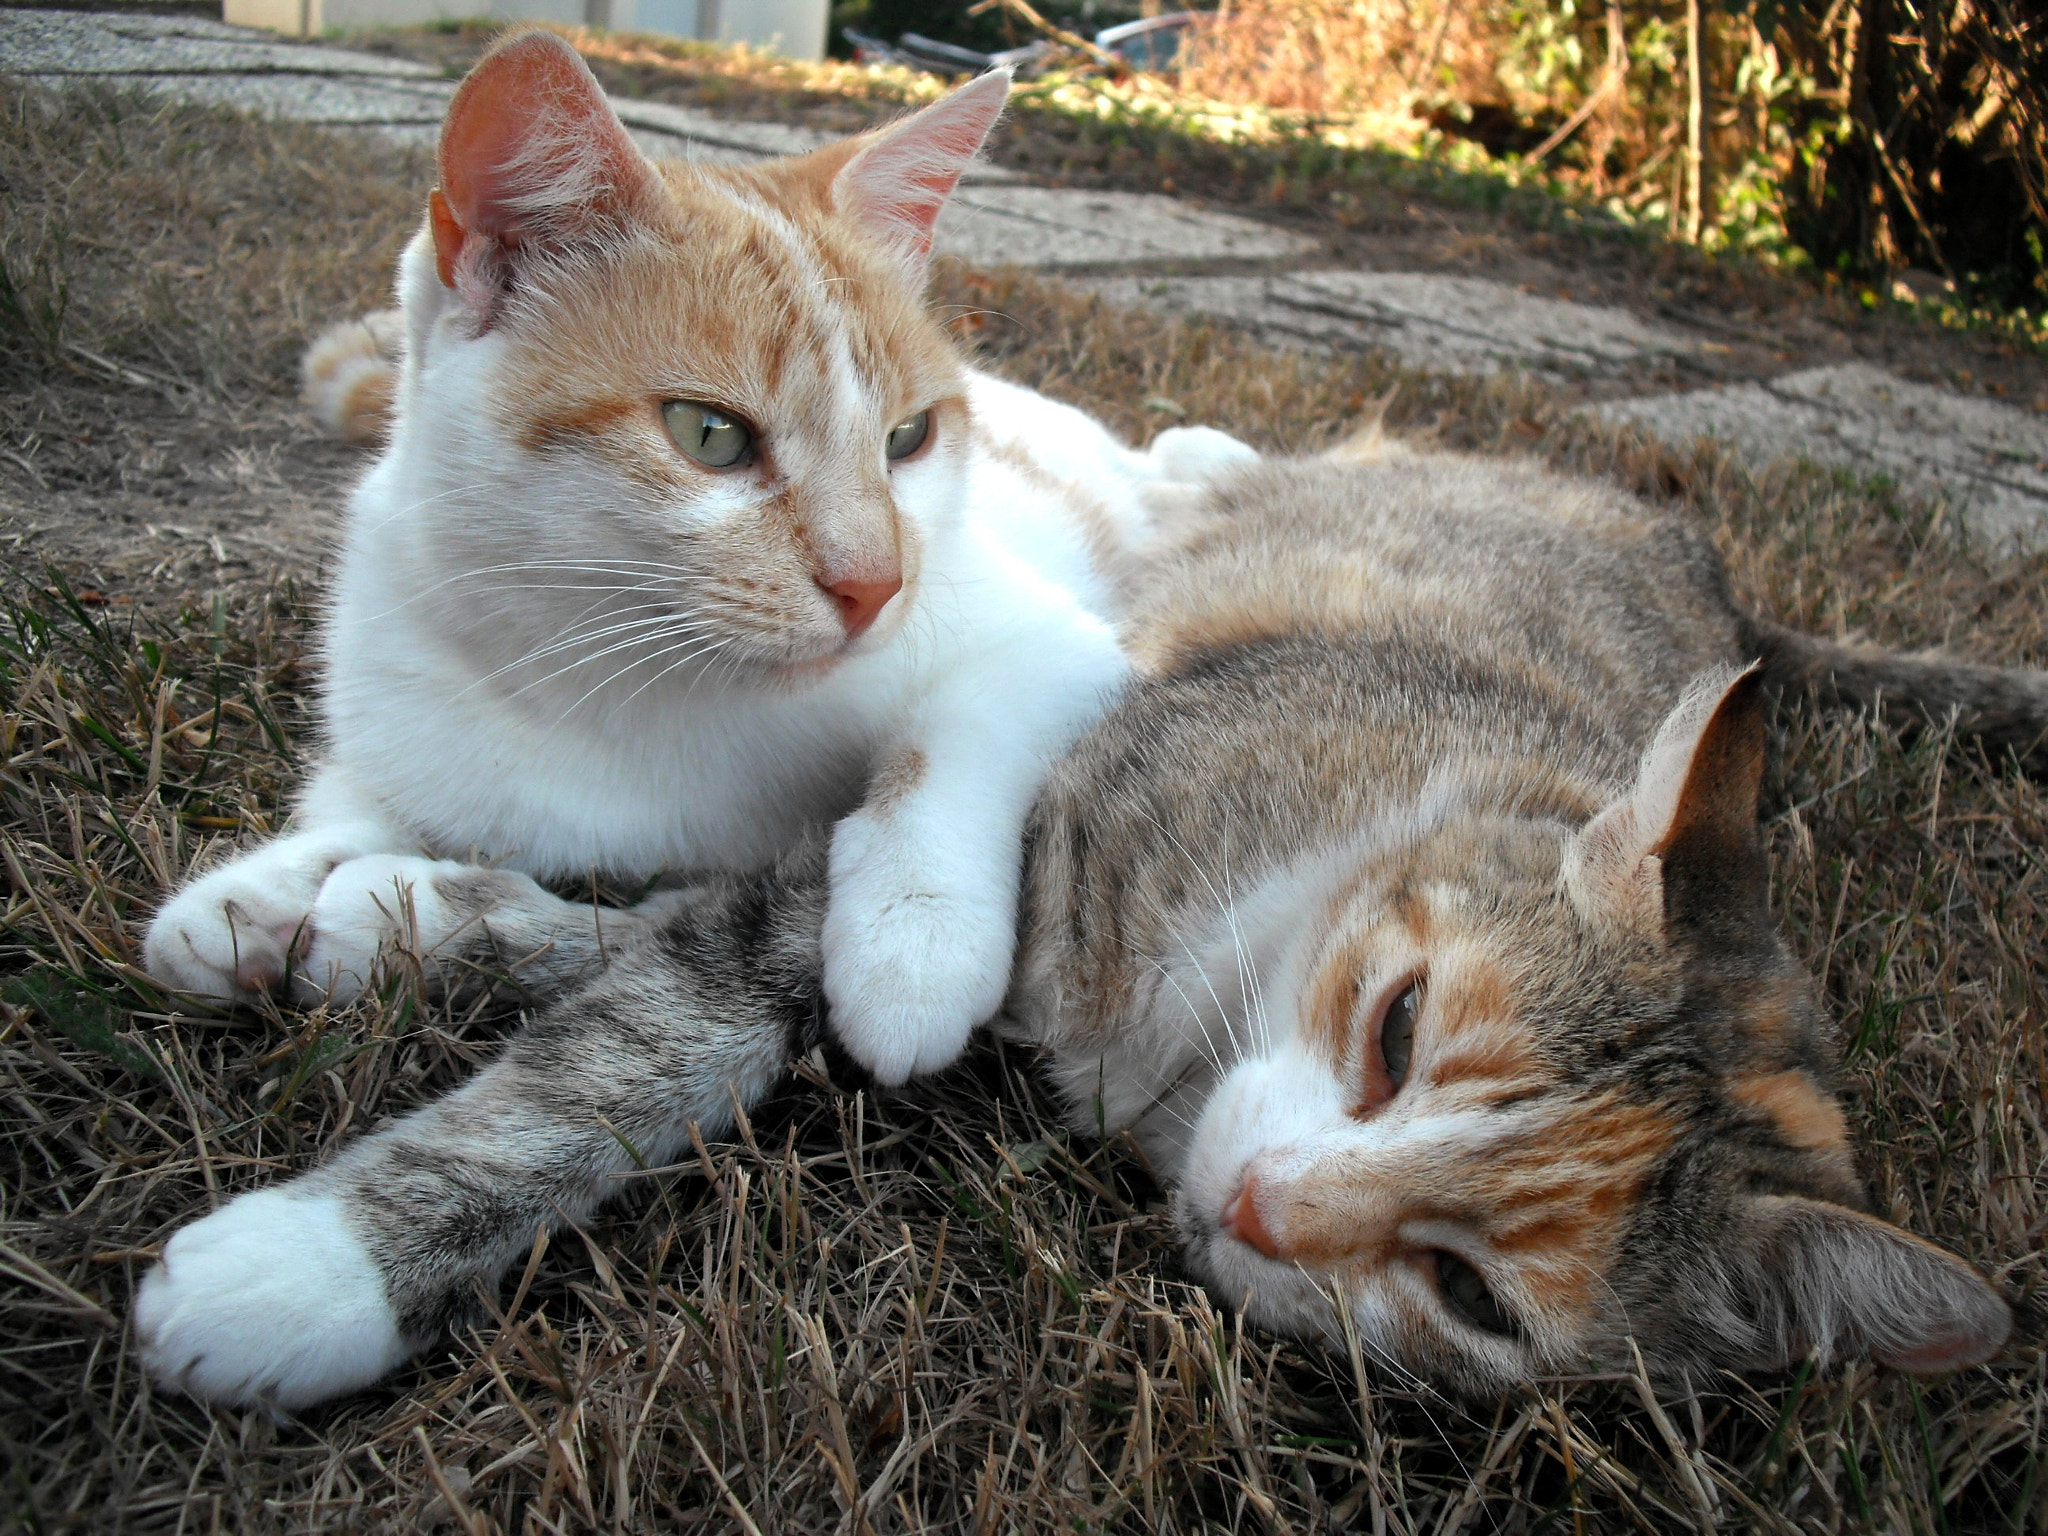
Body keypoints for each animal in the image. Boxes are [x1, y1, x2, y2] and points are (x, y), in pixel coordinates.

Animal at [136, 438, 2023, 1417]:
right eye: (1400, 1027)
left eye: (1467, 1294)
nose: (1263, 1207)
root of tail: (1718, 572)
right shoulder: (997, 833)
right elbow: (658, 1026)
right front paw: (318, 1257)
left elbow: (672, 957)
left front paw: (385, 921)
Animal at [140, 30, 1245, 1089]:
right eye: (708, 435)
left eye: (908, 438)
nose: (875, 584)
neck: (624, 679)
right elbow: (368, 798)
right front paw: (253, 895)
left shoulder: (1053, 643)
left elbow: (954, 738)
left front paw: (913, 940)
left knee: (1146, 468)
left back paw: (1207, 460)